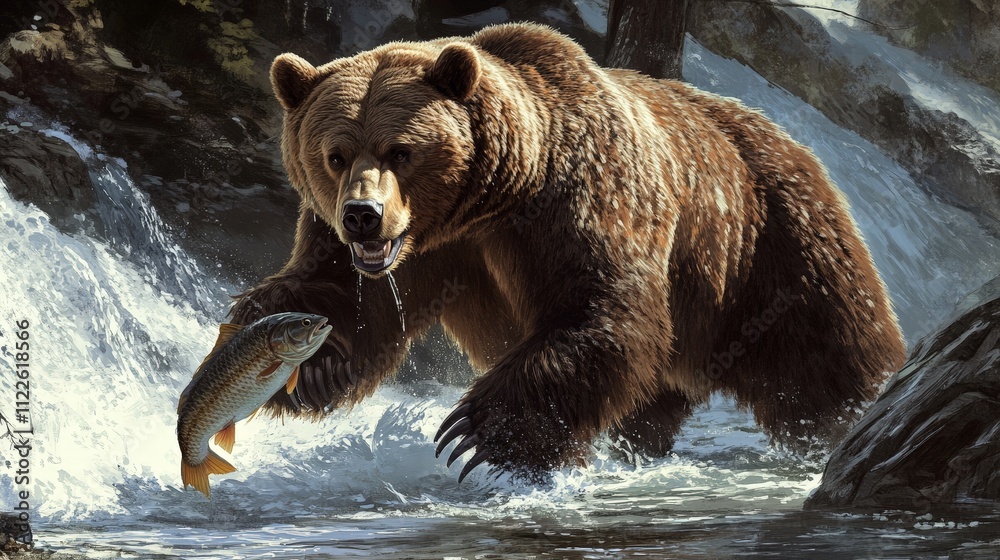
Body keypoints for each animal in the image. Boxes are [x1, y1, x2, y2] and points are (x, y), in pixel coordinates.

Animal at [230, 23, 907, 481]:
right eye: (335, 154)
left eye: (401, 150)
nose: (363, 217)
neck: (485, 200)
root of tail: (795, 142)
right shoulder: (417, 250)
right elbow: (344, 294)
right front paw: (308, 361)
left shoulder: (576, 200)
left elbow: (599, 306)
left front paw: (476, 433)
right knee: (655, 394)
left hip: (771, 240)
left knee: (824, 356)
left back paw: (860, 413)